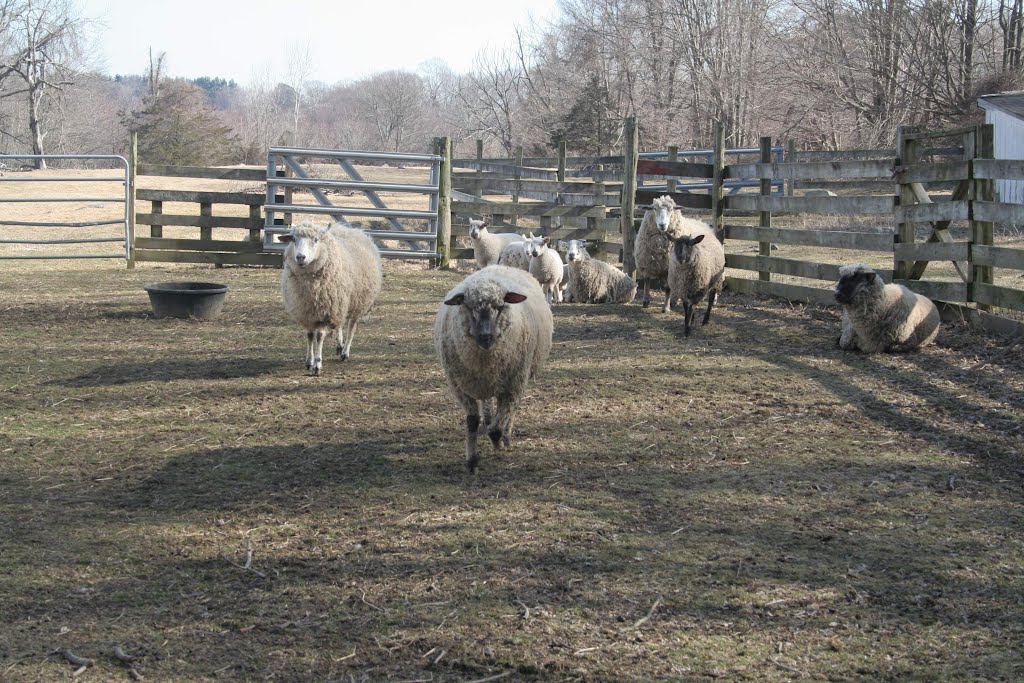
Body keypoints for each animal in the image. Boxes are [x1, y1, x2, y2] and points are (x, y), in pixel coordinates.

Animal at [280, 219, 385, 376]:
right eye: (293, 239)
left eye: (316, 239)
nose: (300, 257)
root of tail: (349, 229)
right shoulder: (307, 311)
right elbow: (309, 335)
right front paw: (309, 362)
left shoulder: (326, 311)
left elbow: (319, 336)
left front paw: (317, 364)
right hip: (340, 302)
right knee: (340, 323)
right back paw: (339, 346)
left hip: (358, 301)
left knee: (352, 326)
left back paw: (345, 352)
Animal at [436, 264, 557, 473]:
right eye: (469, 307)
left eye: (500, 307)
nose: (486, 337)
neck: (484, 359)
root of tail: (501, 265)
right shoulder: (460, 387)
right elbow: (472, 421)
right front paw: (472, 461)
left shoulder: (513, 385)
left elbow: (499, 423)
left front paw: (497, 440)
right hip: (487, 382)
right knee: (487, 403)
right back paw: (488, 419)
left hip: (516, 379)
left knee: (510, 410)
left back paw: (504, 436)